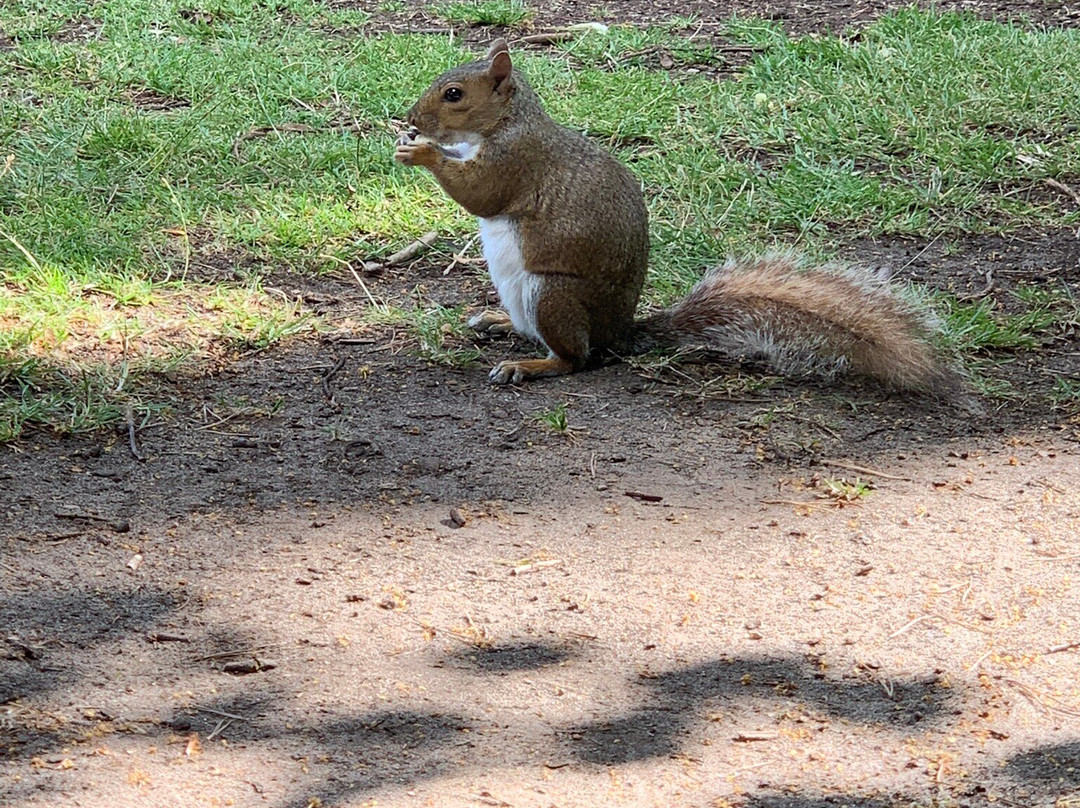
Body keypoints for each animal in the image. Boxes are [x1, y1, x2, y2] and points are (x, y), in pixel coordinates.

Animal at [397, 39, 963, 395]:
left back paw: (529, 365)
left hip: (552, 294)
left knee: (576, 358)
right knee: (535, 331)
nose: (410, 119)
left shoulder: (517, 162)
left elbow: (482, 194)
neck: (506, 123)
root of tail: (620, 332)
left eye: (454, 95)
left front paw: (421, 152)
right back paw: (496, 321)